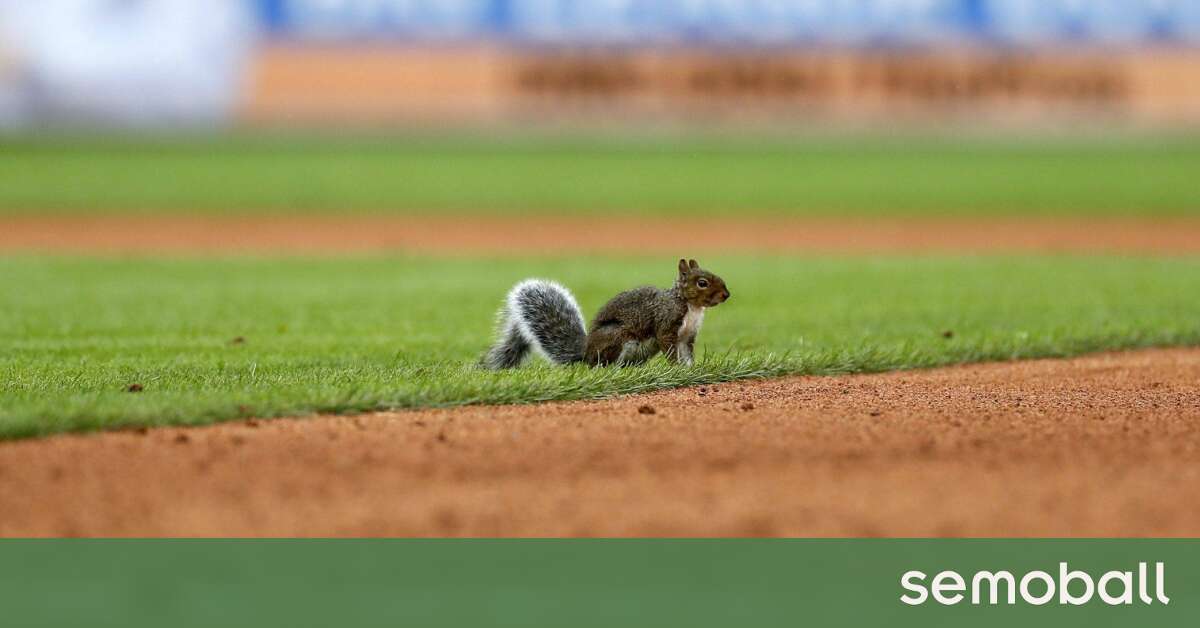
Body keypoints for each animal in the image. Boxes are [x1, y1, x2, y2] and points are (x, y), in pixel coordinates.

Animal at [480, 259, 729, 372]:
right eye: (702, 283)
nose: (726, 295)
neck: (691, 307)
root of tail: (585, 354)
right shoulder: (666, 324)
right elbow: (669, 346)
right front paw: (676, 368)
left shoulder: (688, 335)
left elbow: (687, 351)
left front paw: (691, 368)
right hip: (619, 338)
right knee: (604, 364)